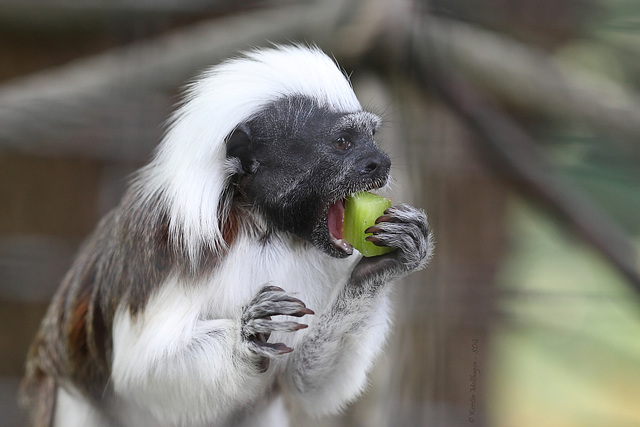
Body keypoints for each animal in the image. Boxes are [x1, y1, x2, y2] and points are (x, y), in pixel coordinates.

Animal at [22, 45, 438, 426]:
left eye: (371, 138)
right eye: (343, 143)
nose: (381, 162)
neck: (262, 227)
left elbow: (304, 385)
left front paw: (382, 265)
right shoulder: (166, 246)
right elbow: (139, 372)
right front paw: (248, 333)